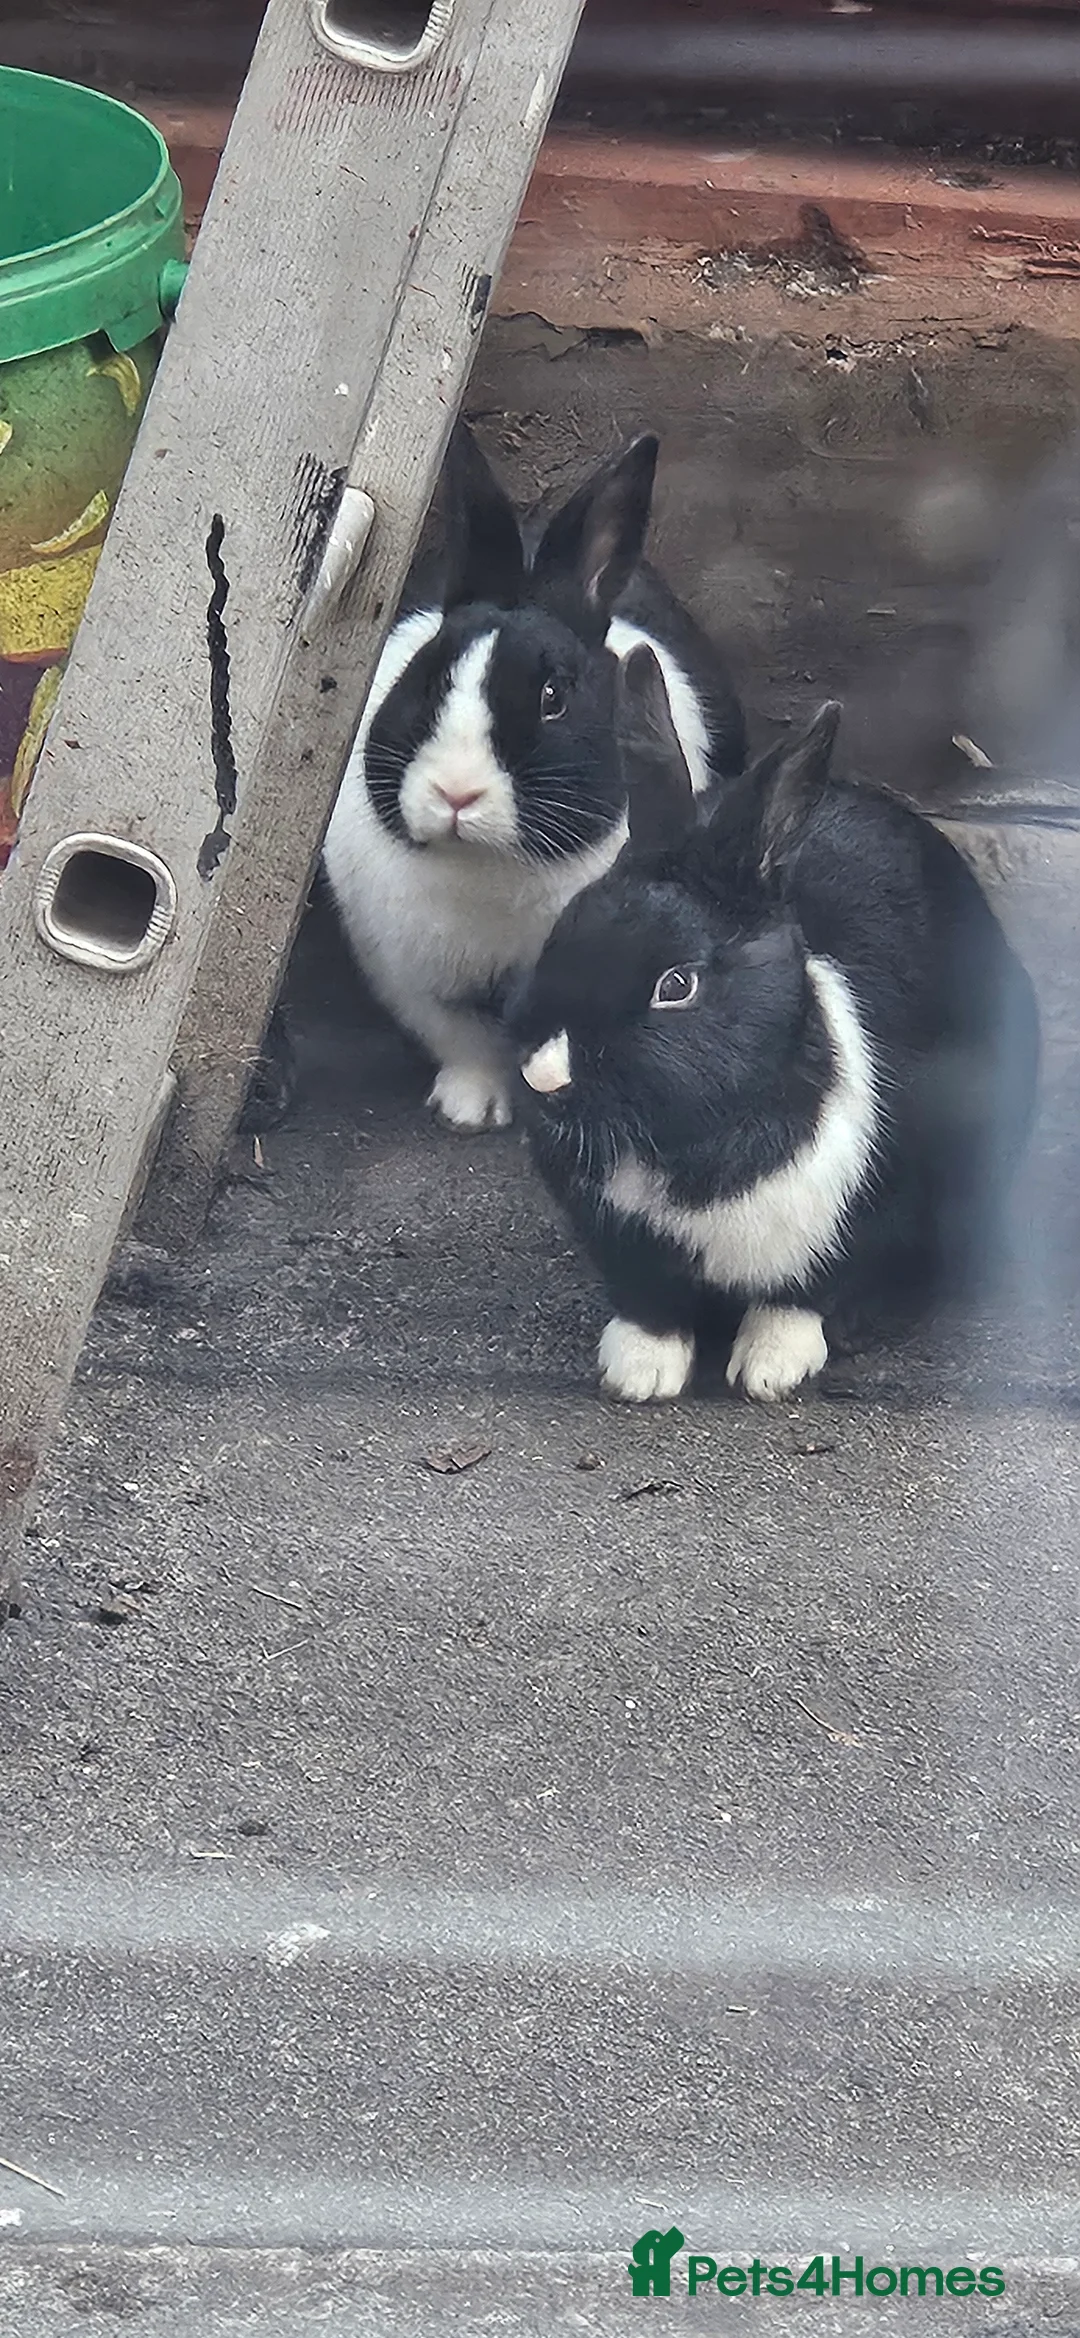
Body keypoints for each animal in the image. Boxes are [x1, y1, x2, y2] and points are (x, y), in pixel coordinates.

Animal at [321, 421, 745, 1133]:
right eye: (427, 678)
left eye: (554, 697)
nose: (456, 793)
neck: (490, 866)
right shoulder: (410, 975)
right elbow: (463, 1039)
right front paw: (470, 1109)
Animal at [507, 644, 1040, 1404]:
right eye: (564, 928)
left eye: (677, 985)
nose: (543, 1075)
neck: (685, 1147)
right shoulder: (626, 1250)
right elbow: (651, 1304)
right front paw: (639, 1374)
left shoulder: (857, 1224)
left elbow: (798, 1297)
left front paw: (769, 1369)